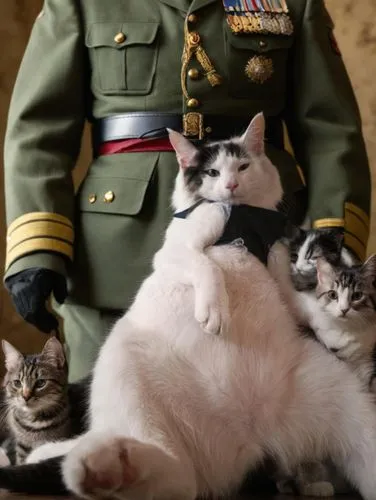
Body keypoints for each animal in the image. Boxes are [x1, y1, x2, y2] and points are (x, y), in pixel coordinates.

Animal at [0, 114, 376, 500]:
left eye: (243, 166)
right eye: (212, 172)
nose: (231, 184)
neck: (242, 216)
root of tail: (247, 439)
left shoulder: (279, 268)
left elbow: (303, 302)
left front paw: (332, 328)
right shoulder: (174, 252)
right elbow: (205, 265)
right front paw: (214, 309)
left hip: (346, 395)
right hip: (125, 367)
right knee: (171, 472)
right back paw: (108, 466)